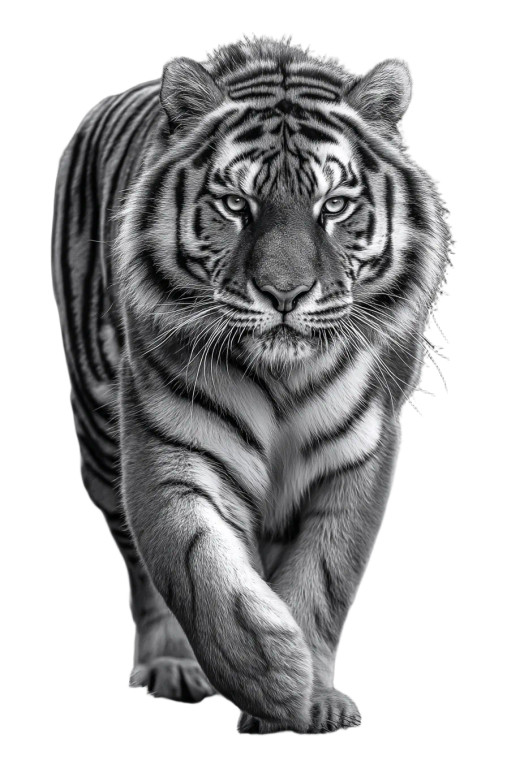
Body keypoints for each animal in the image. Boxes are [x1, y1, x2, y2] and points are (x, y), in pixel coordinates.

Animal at [52, 38, 450, 734]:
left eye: (334, 206)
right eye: (237, 205)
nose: (285, 294)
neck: (284, 376)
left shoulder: (359, 451)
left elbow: (324, 574)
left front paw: (313, 701)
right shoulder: (172, 442)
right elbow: (197, 564)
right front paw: (273, 679)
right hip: (99, 435)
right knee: (137, 562)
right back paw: (173, 665)